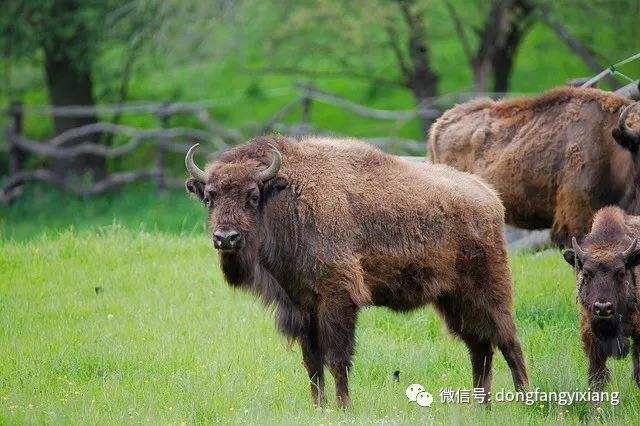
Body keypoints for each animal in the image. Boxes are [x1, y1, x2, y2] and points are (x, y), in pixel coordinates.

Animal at [182, 136, 528, 406]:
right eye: (210, 197)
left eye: (253, 196)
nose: (226, 238)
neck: (288, 196)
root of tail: (488, 196)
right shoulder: (302, 305)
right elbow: (312, 362)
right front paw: (319, 408)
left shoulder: (338, 299)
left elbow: (337, 358)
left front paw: (344, 407)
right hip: (452, 299)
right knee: (479, 348)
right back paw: (480, 407)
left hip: (489, 289)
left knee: (508, 340)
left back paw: (525, 401)